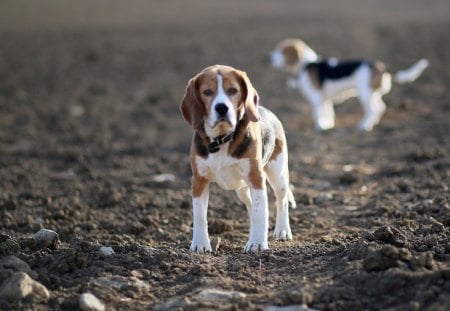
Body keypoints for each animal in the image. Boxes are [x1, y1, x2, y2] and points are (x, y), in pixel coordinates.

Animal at [179, 65, 296, 254]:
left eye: (233, 90)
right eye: (207, 92)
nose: (221, 108)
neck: (221, 139)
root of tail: (266, 110)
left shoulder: (256, 178)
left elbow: (260, 212)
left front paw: (257, 243)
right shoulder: (199, 180)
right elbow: (199, 215)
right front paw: (200, 244)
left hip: (277, 174)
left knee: (281, 201)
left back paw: (282, 231)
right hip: (242, 189)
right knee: (252, 205)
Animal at [270, 38, 428, 132]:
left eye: (282, 50)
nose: (268, 58)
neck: (306, 64)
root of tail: (380, 66)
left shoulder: (317, 98)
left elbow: (318, 114)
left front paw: (320, 126)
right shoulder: (325, 99)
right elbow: (328, 113)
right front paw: (328, 125)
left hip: (365, 94)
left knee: (372, 110)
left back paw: (364, 126)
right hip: (372, 94)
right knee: (380, 107)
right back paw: (373, 123)